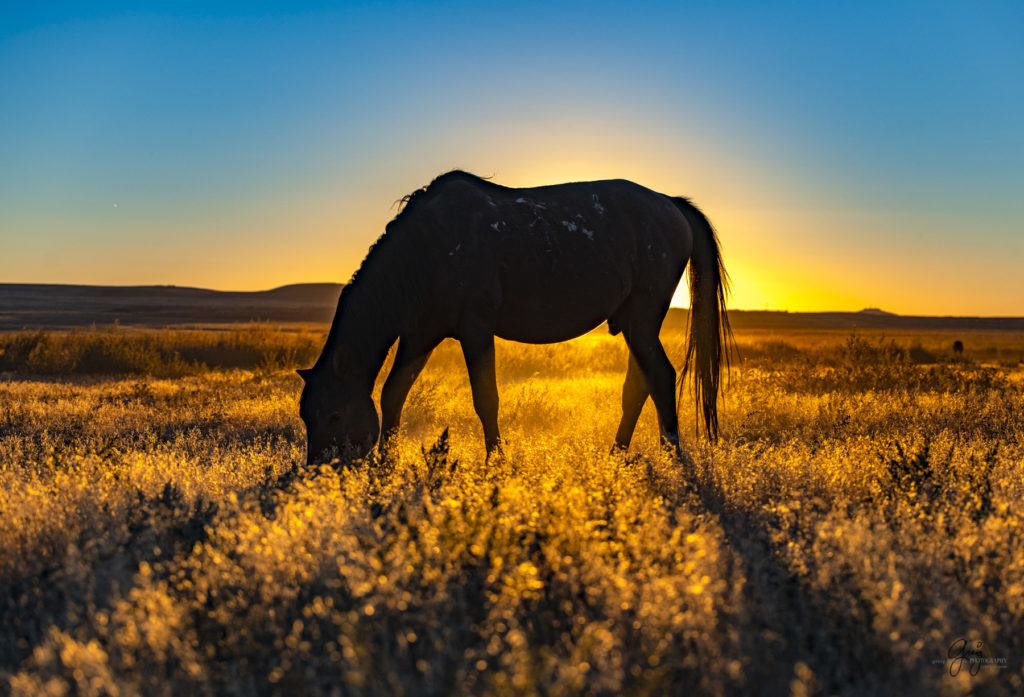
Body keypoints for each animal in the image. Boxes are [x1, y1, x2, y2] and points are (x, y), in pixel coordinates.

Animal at [299, 168, 733, 462]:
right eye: (306, 416)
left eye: (335, 415)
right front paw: (386, 464)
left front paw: (495, 461)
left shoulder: (475, 329)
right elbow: (393, 393)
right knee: (639, 385)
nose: (319, 470)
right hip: (632, 324)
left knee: (661, 377)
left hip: (642, 320)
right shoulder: (420, 335)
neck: (425, 250)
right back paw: (616, 454)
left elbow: (485, 399)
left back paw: (671, 453)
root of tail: (671, 204)